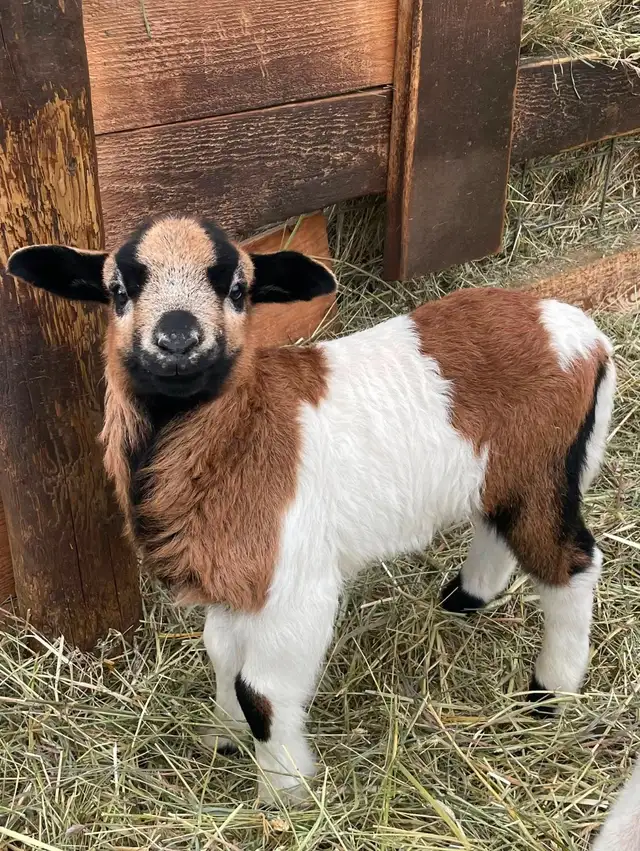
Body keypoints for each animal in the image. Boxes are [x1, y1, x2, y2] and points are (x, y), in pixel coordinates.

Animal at [8, 215, 615, 804]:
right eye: (117, 290)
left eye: (238, 290)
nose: (177, 339)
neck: (241, 429)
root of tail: (580, 333)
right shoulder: (236, 574)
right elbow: (222, 658)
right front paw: (224, 737)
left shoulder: (294, 584)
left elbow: (260, 690)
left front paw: (285, 791)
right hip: (507, 476)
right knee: (500, 530)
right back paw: (465, 599)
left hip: (542, 468)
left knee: (573, 564)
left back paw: (552, 693)